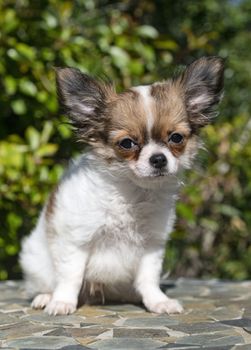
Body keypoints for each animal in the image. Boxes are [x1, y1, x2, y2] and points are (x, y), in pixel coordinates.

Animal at [19, 56, 224, 316]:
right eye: (127, 143)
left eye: (176, 138)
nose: (158, 159)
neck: (132, 193)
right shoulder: (76, 240)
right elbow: (70, 276)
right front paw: (62, 302)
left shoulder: (152, 245)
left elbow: (148, 278)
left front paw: (157, 301)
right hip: (36, 260)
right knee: (48, 281)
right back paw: (46, 296)